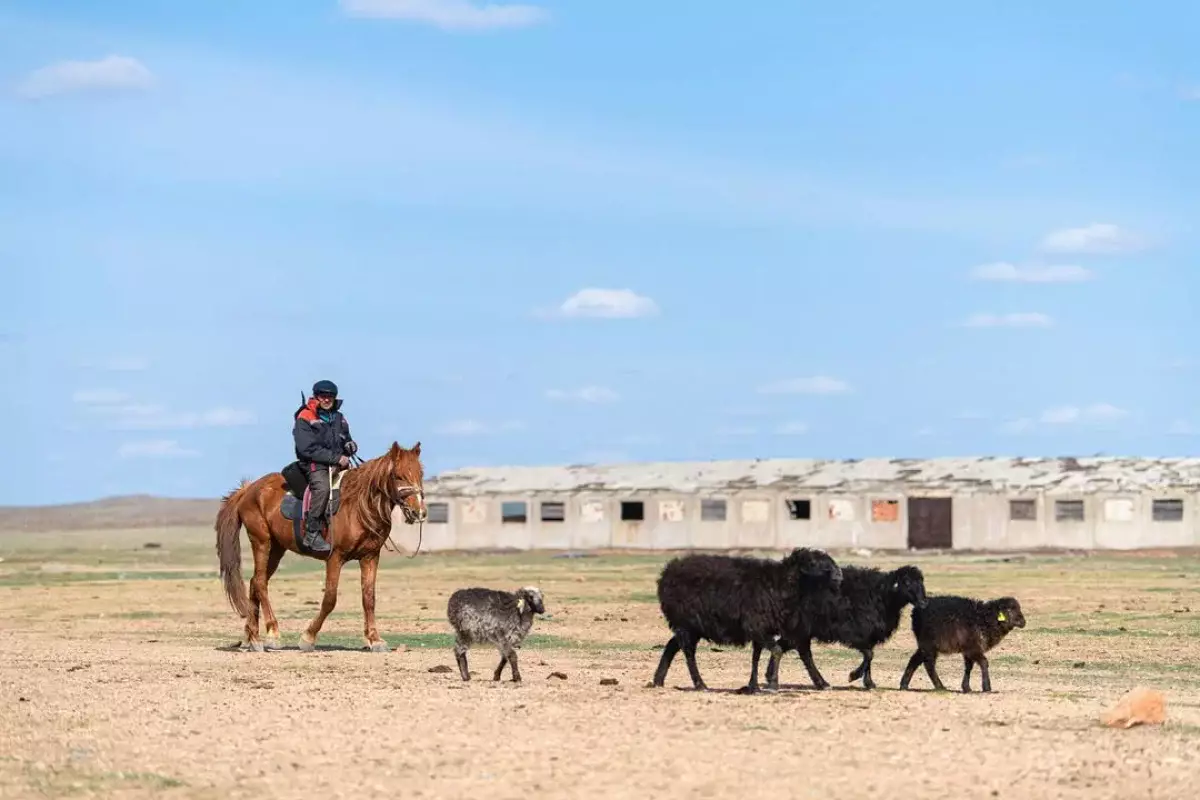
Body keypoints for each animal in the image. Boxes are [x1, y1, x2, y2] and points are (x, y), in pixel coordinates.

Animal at [214, 441, 427, 652]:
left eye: (420, 473)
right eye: (397, 475)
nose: (419, 512)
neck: (359, 506)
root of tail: (248, 489)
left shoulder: (370, 557)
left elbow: (369, 598)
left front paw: (375, 639)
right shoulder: (335, 558)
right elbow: (330, 599)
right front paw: (308, 637)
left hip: (276, 549)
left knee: (255, 582)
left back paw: (253, 637)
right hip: (261, 542)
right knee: (259, 583)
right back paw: (272, 634)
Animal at [648, 546, 844, 690]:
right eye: (812, 562)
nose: (839, 575)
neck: (779, 584)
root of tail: (667, 572)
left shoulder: (761, 628)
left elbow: (756, 656)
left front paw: (753, 686)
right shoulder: (756, 625)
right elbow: (776, 651)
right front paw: (773, 684)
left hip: (691, 626)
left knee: (672, 645)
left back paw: (658, 680)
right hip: (685, 624)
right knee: (688, 653)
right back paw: (700, 684)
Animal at [768, 563, 926, 690]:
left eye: (921, 582)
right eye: (906, 582)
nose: (924, 603)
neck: (882, 595)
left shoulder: (869, 635)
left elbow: (869, 657)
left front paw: (869, 683)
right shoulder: (854, 633)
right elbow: (869, 654)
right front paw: (854, 676)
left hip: (799, 631)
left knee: (782, 648)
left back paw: (772, 678)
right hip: (800, 629)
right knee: (804, 654)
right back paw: (820, 683)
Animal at [897, 594, 1027, 695]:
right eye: (1009, 610)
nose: (1023, 622)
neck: (984, 619)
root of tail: (915, 611)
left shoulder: (968, 649)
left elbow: (968, 667)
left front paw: (967, 688)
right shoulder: (973, 647)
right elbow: (984, 663)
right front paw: (987, 687)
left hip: (926, 644)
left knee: (915, 660)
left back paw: (904, 685)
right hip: (929, 643)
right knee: (929, 665)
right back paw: (940, 686)